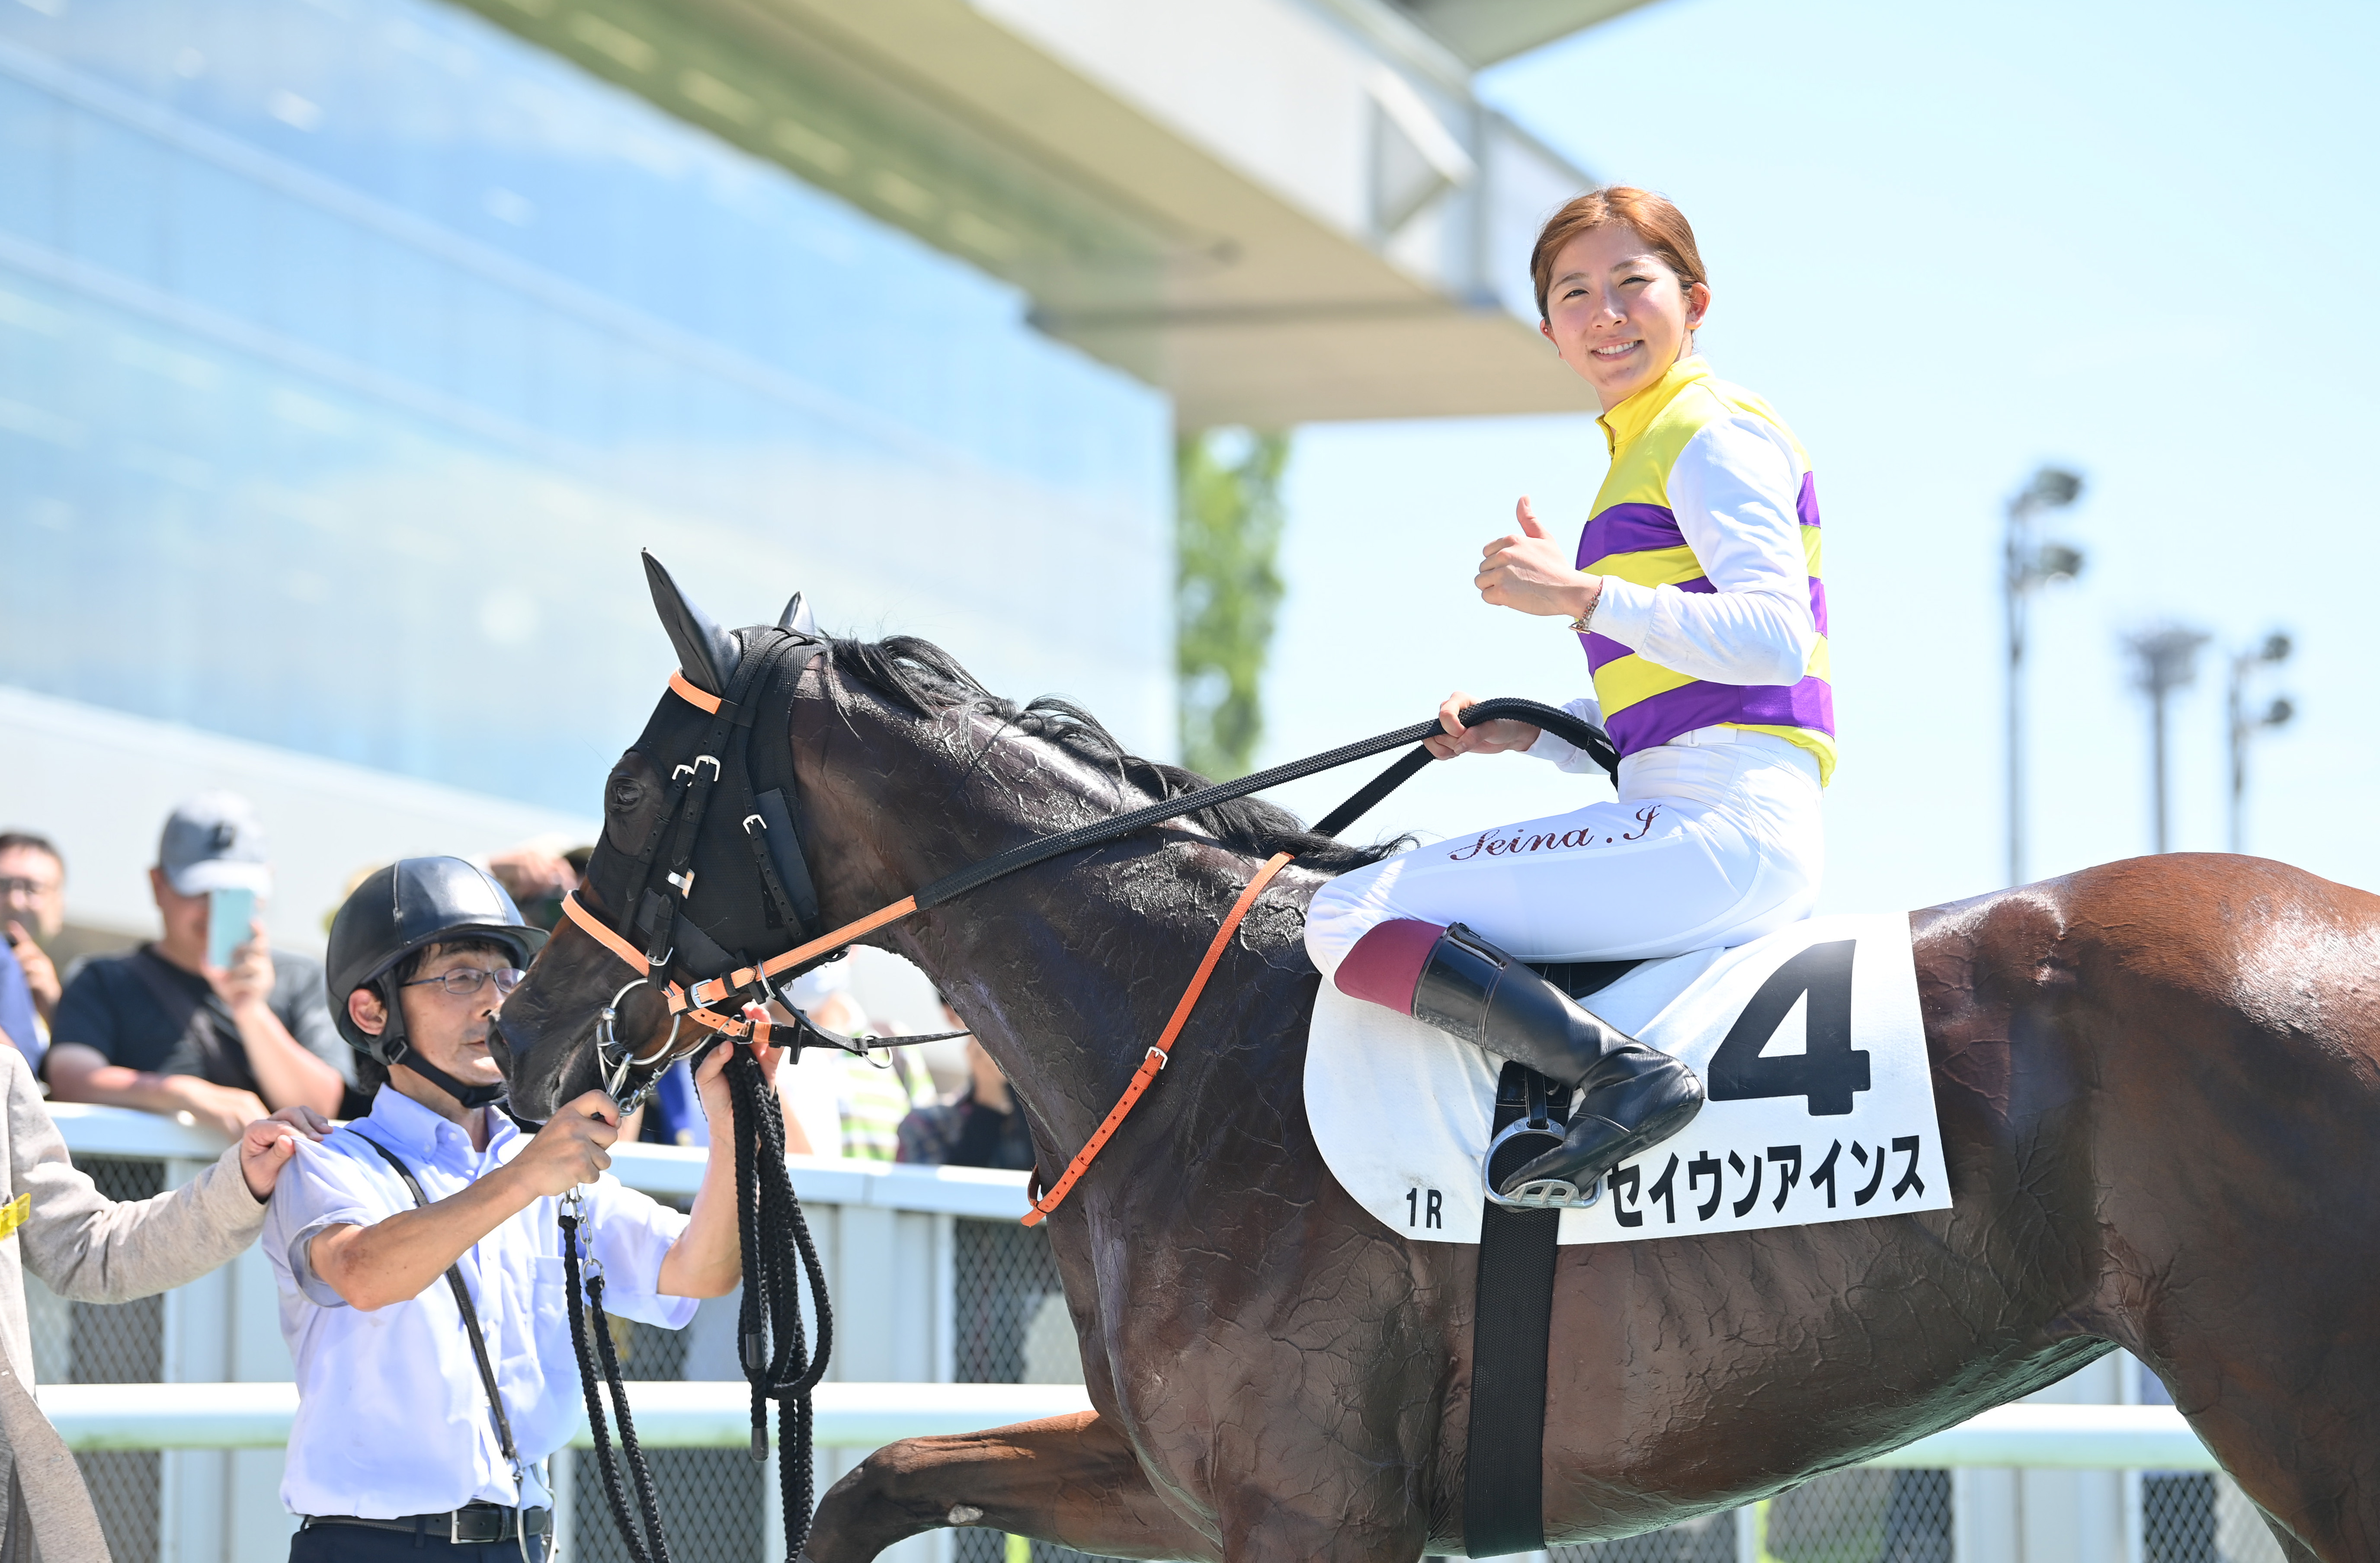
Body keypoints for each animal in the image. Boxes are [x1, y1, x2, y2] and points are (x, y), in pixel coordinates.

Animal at [492, 573, 2380, 1563]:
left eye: (640, 788)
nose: (525, 1033)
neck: (1189, 1039)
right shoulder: (1192, 1478)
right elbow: (881, 1472)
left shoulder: (1307, 1509)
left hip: (2303, 1421)